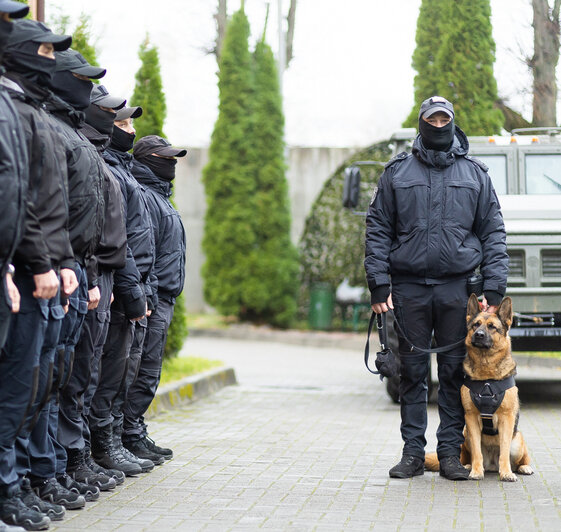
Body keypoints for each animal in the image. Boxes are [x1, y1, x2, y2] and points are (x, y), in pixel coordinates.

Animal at [426, 296, 532, 482]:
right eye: (476, 325)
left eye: (492, 327)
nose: (479, 335)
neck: (486, 378)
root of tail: (492, 466)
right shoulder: (471, 419)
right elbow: (477, 451)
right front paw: (476, 471)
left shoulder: (507, 419)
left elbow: (504, 451)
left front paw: (506, 473)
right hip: (465, 435)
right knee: (468, 456)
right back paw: (468, 466)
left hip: (518, 441)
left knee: (519, 459)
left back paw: (523, 468)